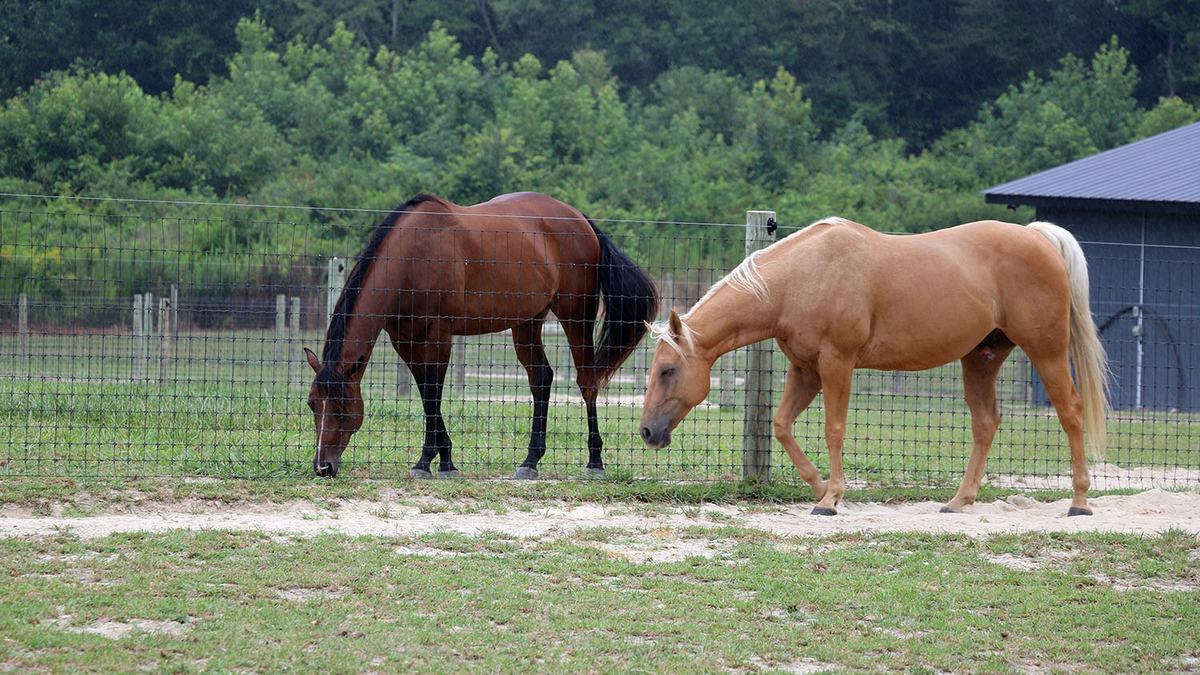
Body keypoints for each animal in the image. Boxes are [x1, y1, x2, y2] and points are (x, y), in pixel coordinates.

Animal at [304, 192, 659, 479]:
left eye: (341, 407)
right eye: (311, 404)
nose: (323, 467)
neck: (413, 256)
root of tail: (580, 220)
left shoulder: (439, 335)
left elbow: (433, 391)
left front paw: (427, 461)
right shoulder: (404, 340)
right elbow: (425, 392)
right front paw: (444, 459)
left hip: (575, 315)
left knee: (587, 382)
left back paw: (595, 462)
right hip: (527, 322)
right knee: (541, 378)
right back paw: (530, 461)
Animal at [639, 217, 1108, 516]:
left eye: (667, 370)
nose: (647, 432)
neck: (800, 278)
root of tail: (1037, 237)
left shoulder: (837, 365)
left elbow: (834, 429)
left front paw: (830, 500)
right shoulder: (805, 370)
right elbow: (781, 426)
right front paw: (821, 488)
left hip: (1046, 351)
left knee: (1070, 412)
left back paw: (1080, 502)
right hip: (981, 358)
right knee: (986, 423)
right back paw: (959, 500)